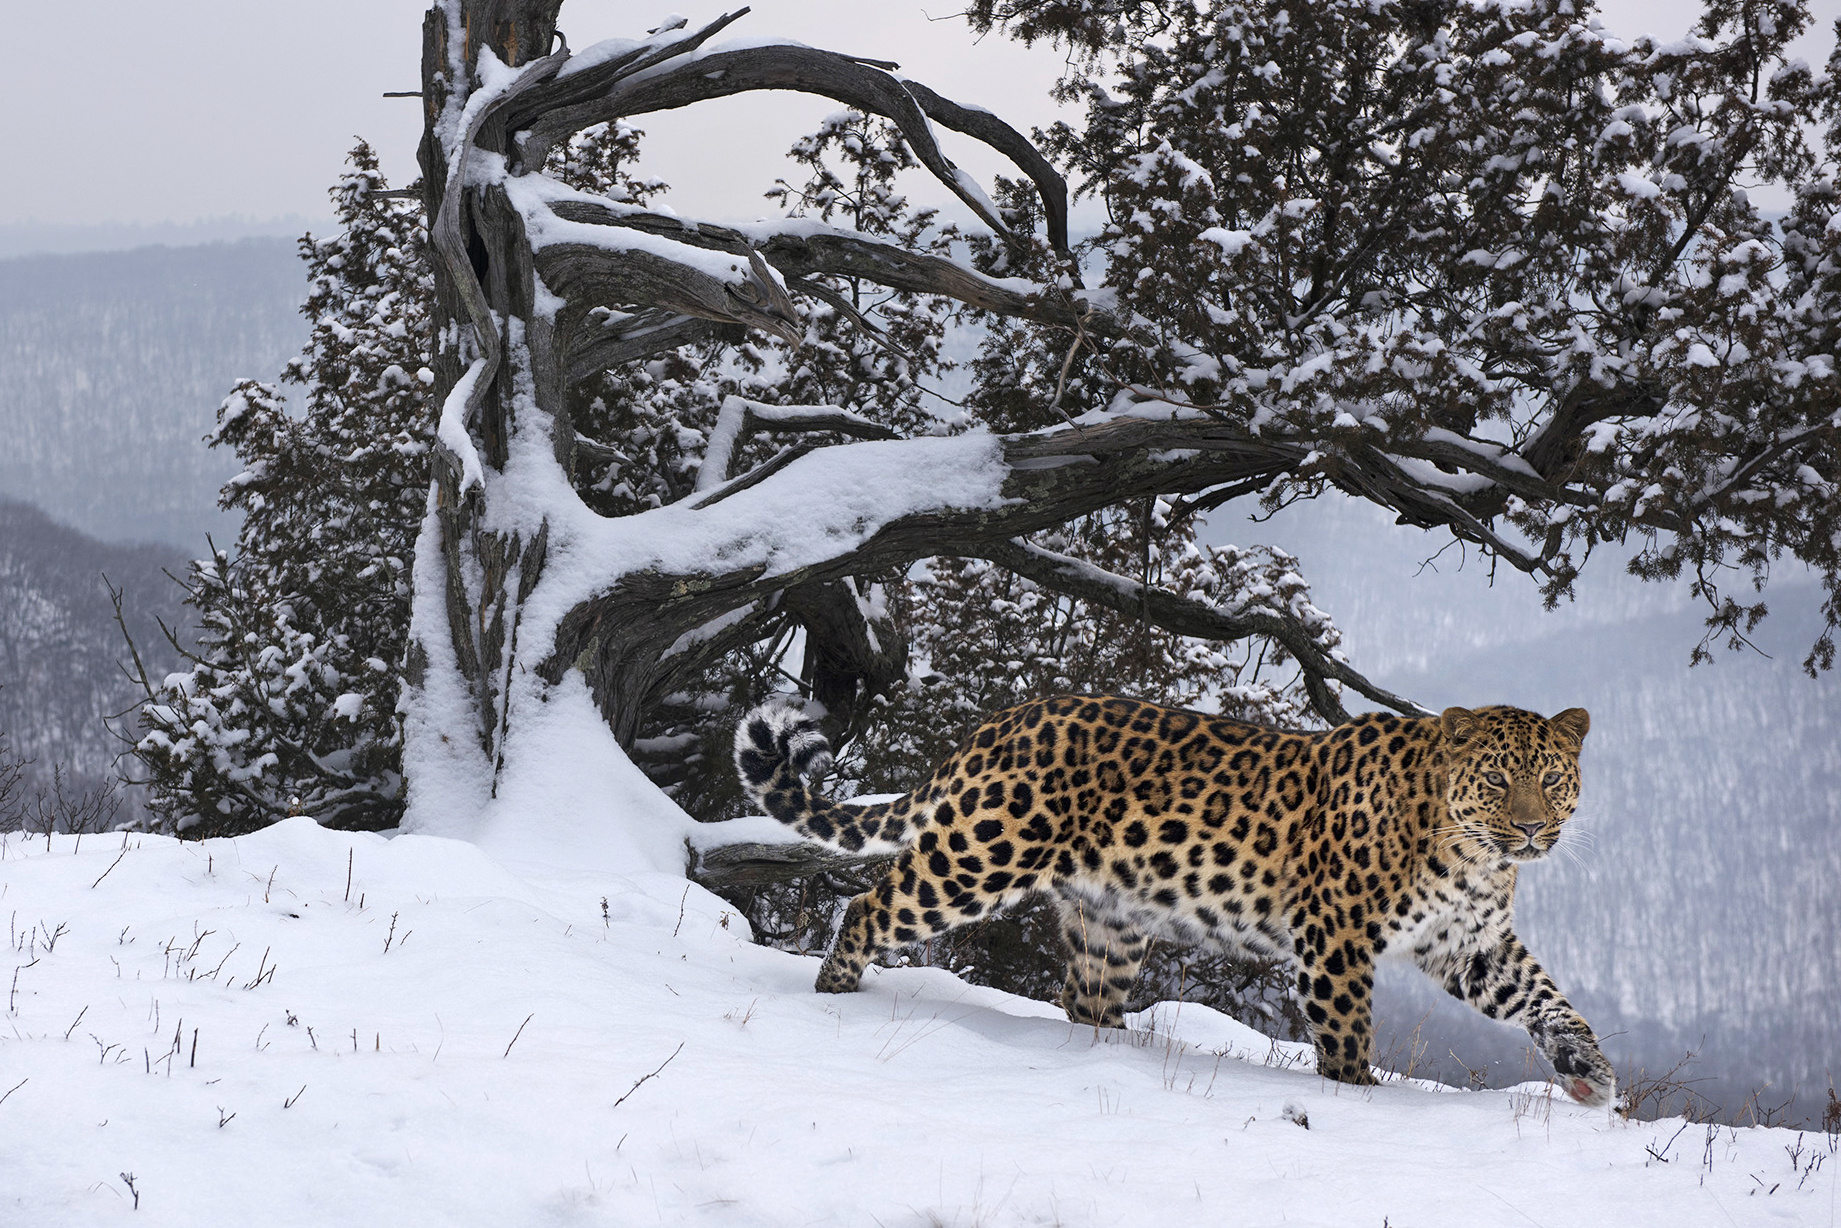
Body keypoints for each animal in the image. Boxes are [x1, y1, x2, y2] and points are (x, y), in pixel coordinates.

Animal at [725, 692, 1620, 1104]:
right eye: (1497, 780)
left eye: (1550, 779)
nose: (1532, 829)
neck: (1470, 854)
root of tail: (998, 722)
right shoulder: (1336, 937)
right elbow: (1345, 1031)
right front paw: (1356, 1097)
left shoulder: (1468, 943)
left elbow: (1544, 996)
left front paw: (1589, 1070)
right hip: (977, 858)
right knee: (869, 907)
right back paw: (834, 995)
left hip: (1110, 924)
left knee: (1082, 998)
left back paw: (1111, 1056)